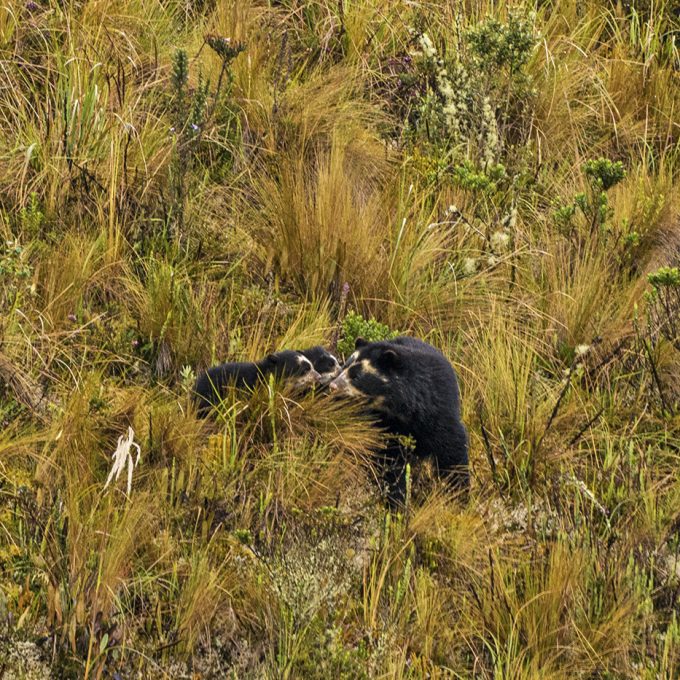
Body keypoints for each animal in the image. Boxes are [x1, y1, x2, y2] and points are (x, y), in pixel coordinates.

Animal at [328, 336, 469, 505]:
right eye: (344, 367)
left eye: (357, 376)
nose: (333, 386)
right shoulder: (386, 427)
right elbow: (390, 463)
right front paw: (396, 499)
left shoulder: (439, 412)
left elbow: (453, 452)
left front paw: (459, 496)